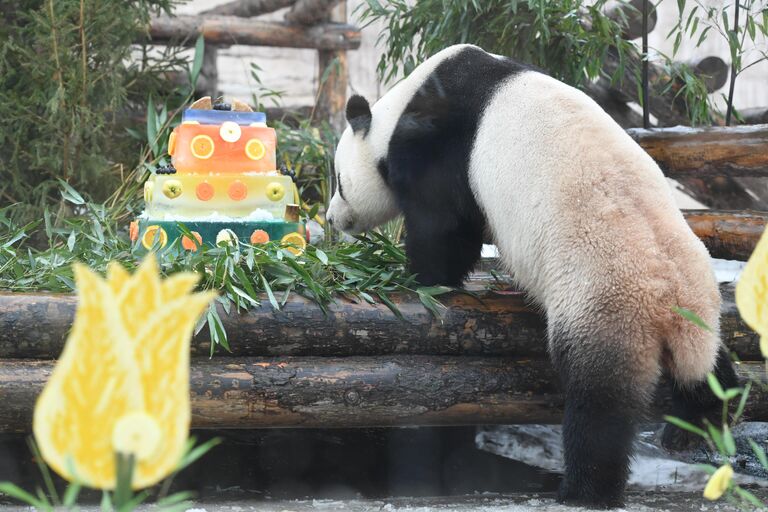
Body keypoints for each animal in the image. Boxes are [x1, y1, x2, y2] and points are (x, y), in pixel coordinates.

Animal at [328, 45, 740, 508]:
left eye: (339, 181)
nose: (332, 219)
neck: (397, 108)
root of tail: (669, 305)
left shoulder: (439, 141)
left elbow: (445, 225)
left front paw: (419, 277)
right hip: (700, 308)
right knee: (710, 372)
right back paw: (699, 427)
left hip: (603, 302)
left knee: (598, 406)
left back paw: (583, 490)